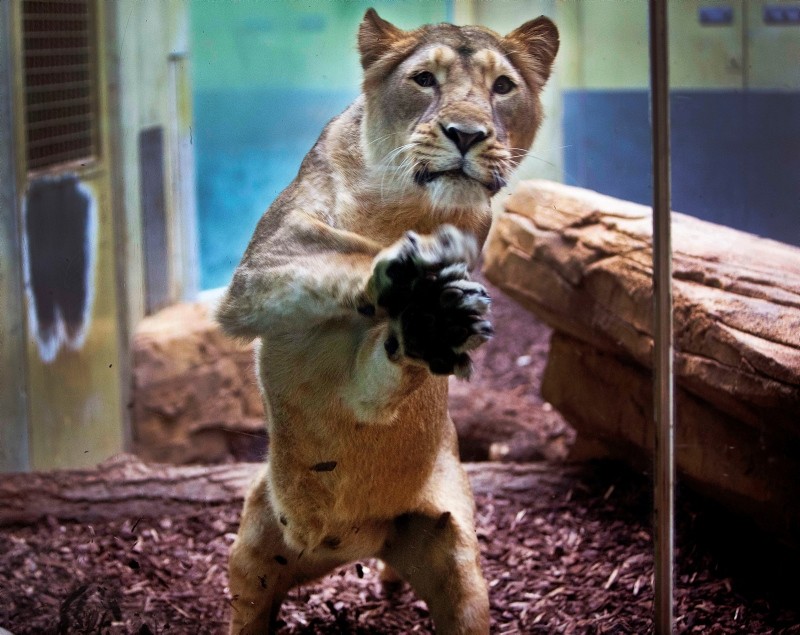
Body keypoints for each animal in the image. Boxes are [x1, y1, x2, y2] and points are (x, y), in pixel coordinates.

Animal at [216, 9, 558, 634]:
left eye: (502, 86)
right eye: (424, 79)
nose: (467, 134)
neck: (403, 208)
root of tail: (347, 543)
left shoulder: (373, 388)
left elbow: (381, 371)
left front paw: (433, 318)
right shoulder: (260, 270)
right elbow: (344, 251)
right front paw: (410, 275)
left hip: (459, 570)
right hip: (251, 556)